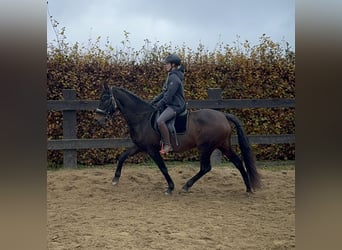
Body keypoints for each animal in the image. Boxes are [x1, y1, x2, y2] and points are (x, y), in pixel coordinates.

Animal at [95, 84, 260, 195]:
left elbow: (163, 167)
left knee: (206, 168)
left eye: (104, 98)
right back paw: (248, 188)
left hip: (206, 147)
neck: (142, 118)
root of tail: (223, 116)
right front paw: (115, 179)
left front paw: (170, 187)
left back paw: (187, 186)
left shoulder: (151, 149)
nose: (98, 120)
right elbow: (122, 157)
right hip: (223, 145)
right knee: (238, 162)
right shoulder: (140, 146)